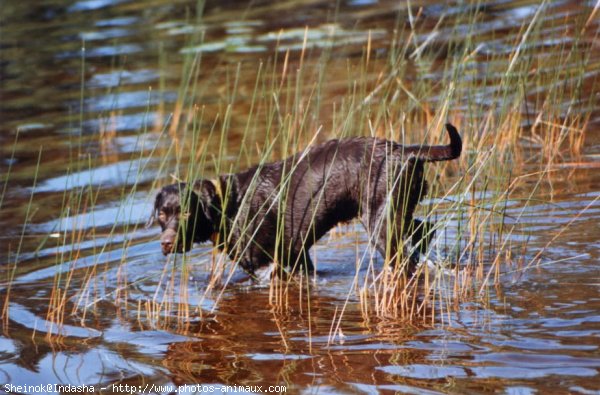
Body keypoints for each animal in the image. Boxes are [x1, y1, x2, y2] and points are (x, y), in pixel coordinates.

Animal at [149, 124, 460, 278]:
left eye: (186, 214)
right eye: (162, 215)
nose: (166, 242)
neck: (228, 205)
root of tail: (404, 150)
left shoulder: (267, 265)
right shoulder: (298, 256)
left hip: (381, 224)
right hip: (397, 213)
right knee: (424, 229)